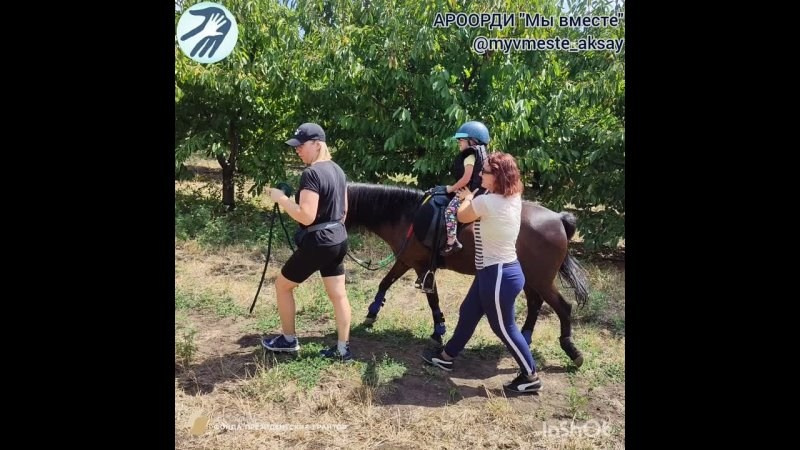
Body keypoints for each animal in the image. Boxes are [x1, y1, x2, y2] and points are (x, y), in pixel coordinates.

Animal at [344, 183, 590, 367]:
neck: (408, 215)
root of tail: (558, 218)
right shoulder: (406, 260)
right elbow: (385, 283)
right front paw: (372, 313)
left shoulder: (421, 266)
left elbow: (432, 298)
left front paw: (439, 329)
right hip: (530, 277)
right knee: (534, 303)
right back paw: (525, 338)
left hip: (541, 279)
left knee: (563, 307)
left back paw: (571, 349)